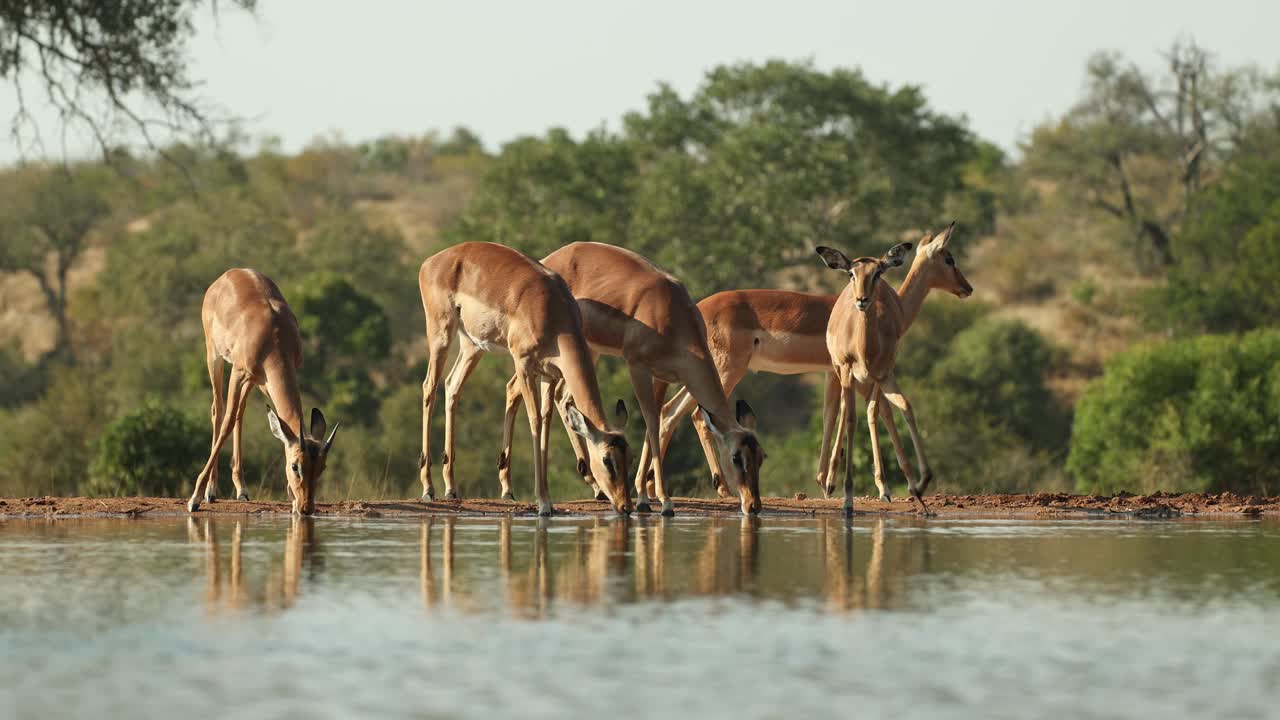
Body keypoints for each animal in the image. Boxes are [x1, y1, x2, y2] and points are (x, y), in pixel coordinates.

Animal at [189, 269, 339, 515]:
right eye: (295, 466)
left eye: (322, 466)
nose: (306, 508)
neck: (274, 335)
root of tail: (227, 274)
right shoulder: (238, 372)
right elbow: (227, 423)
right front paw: (195, 498)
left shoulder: (263, 379)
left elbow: (281, 428)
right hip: (215, 357)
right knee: (218, 411)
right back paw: (210, 492)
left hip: (254, 381)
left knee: (240, 414)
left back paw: (242, 489)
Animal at [417, 242, 632, 516]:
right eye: (607, 460)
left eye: (630, 457)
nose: (625, 506)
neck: (551, 309)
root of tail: (432, 261)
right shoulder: (524, 364)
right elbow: (534, 423)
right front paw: (544, 503)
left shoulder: (550, 374)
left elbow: (546, 421)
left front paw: (545, 498)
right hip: (441, 335)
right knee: (429, 388)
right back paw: (428, 488)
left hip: (472, 345)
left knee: (452, 386)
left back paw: (452, 488)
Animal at [495, 242, 765, 517]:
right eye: (736, 457)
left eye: (761, 457)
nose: (753, 505)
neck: (673, 315)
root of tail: (556, 256)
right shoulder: (638, 367)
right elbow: (652, 423)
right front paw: (662, 501)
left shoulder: (663, 376)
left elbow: (654, 423)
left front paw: (645, 497)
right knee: (516, 389)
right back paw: (510, 489)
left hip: (585, 353)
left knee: (553, 397)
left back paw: (592, 488)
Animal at [646, 224, 971, 502]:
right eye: (949, 258)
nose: (967, 288)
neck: (894, 309)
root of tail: (698, 308)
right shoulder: (850, 373)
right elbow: (871, 413)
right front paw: (865, 485)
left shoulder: (834, 373)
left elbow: (832, 415)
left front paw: (826, 481)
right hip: (727, 370)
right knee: (696, 416)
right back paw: (720, 488)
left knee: (669, 412)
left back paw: (655, 487)